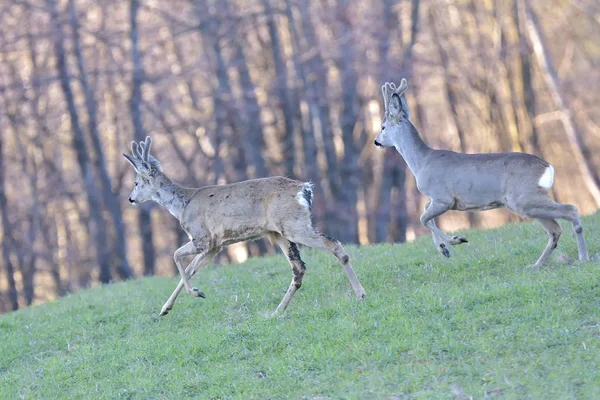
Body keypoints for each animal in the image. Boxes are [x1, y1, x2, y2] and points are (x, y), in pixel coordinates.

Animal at [122, 136, 366, 318]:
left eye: (136, 182)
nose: (130, 199)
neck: (182, 204)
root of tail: (304, 188)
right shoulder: (215, 246)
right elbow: (191, 268)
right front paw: (166, 308)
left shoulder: (203, 238)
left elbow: (176, 256)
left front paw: (195, 294)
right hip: (279, 232)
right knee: (299, 268)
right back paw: (277, 311)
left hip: (293, 225)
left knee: (333, 245)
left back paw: (360, 294)